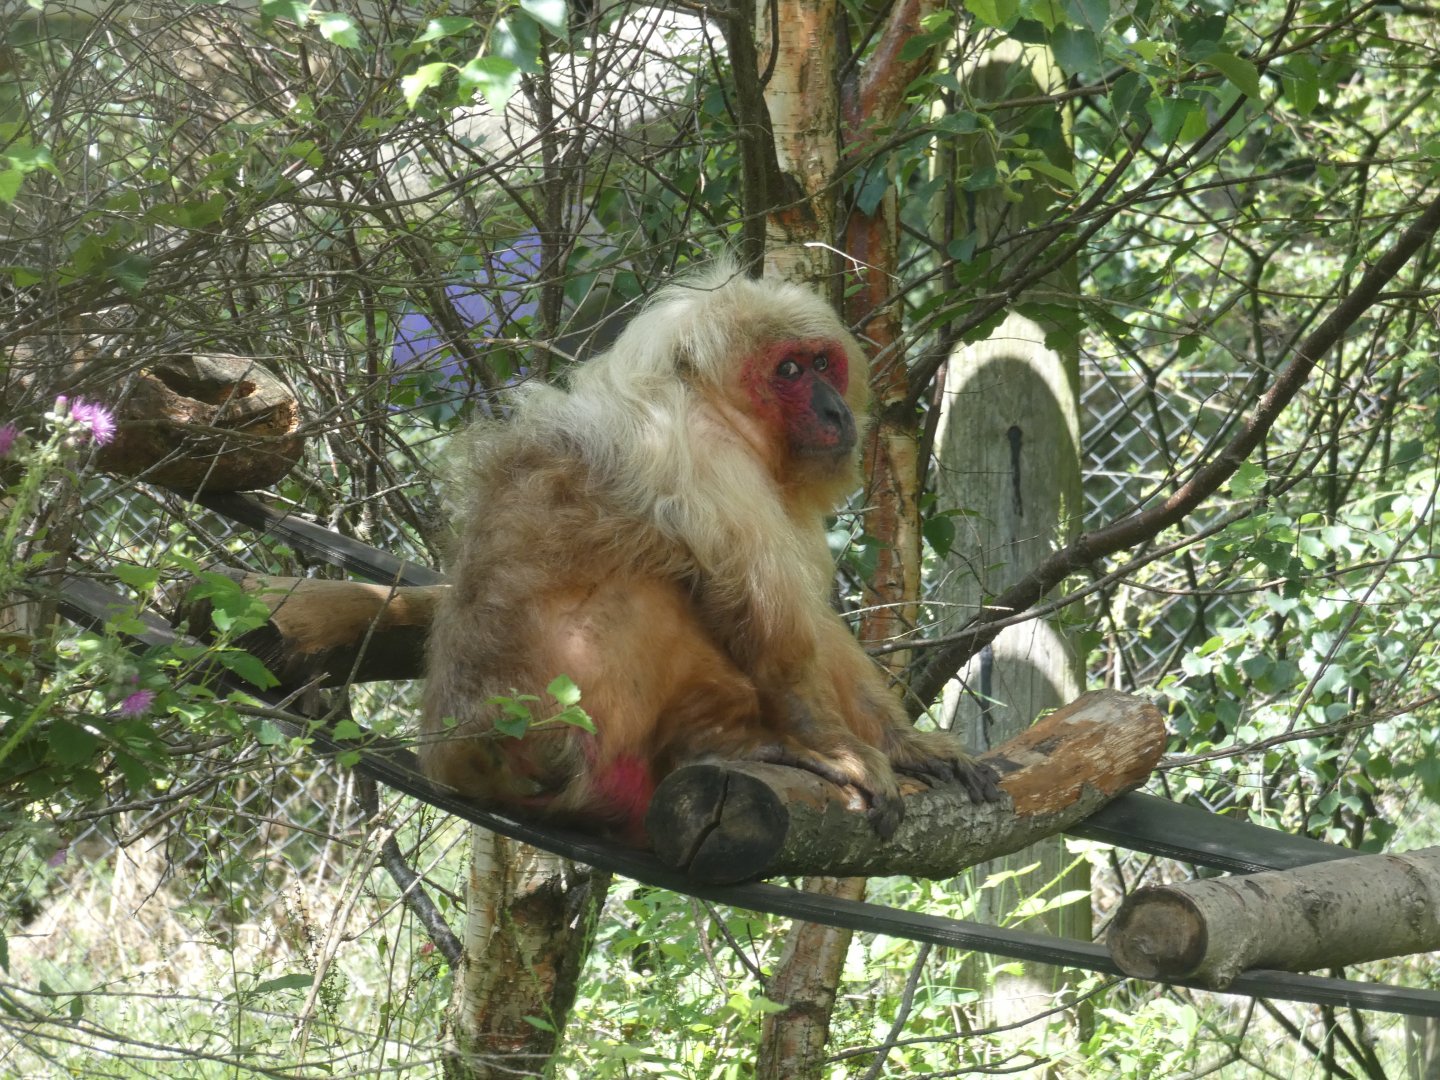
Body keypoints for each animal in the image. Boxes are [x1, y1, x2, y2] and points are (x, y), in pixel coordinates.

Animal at [420, 262, 1001, 844]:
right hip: (569, 726)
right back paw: (721, 741)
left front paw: (902, 743)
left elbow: (806, 619)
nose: (836, 412)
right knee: (654, 588)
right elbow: (773, 627)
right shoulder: (706, 455)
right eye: (788, 370)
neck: (706, 400)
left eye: (821, 364)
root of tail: (466, 759)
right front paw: (839, 749)